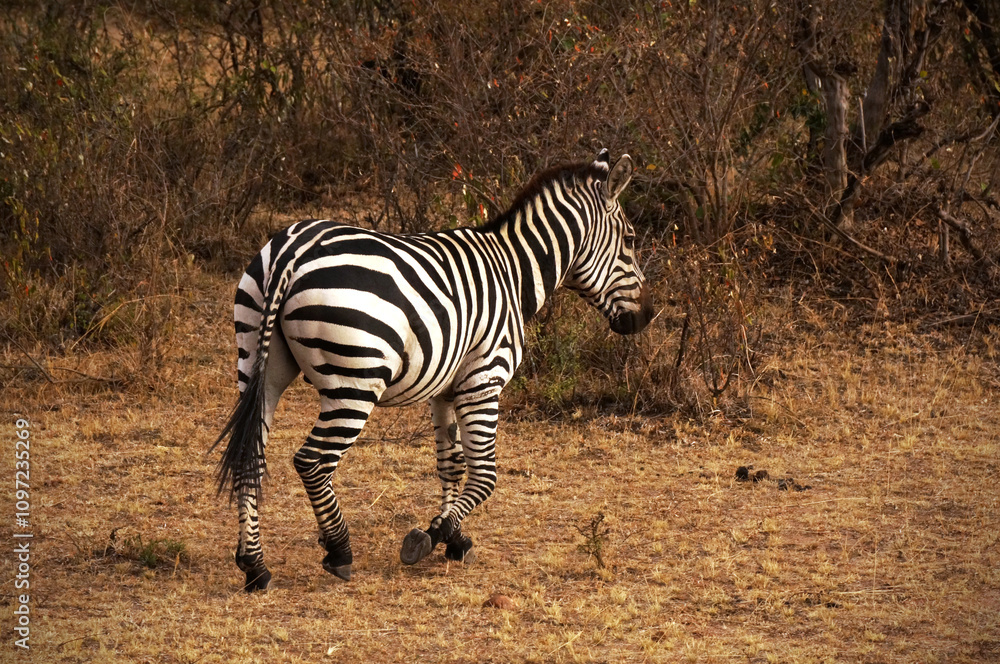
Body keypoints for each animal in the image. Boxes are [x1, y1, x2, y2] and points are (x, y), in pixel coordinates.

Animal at [213, 149, 653, 592]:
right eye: (631, 240)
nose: (647, 317)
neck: (512, 272)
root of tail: (293, 250)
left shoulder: (446, 387)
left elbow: (451, 463)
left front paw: (454, 537)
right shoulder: (484, 379)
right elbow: (485, 474)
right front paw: (431, 536)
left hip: (257, 362)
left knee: (252, 456)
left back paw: (255, 565)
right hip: (354, 382)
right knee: (312, 461)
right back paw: (339, 550)